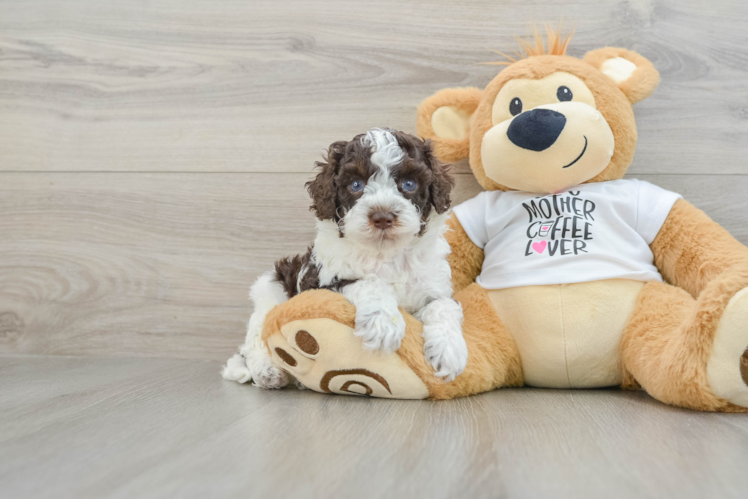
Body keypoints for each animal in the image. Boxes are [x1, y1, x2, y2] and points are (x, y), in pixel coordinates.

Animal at [222, 127, 468, 388]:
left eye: (409, 183)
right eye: (356, 184)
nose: (382, 217)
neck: (384, 253)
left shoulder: (434, 287)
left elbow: (443, 305)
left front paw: (449, 350)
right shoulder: (320, 284)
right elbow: (367, 282)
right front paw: (383, 323)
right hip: (271, 289)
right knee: (256, 336)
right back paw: (267, 372)